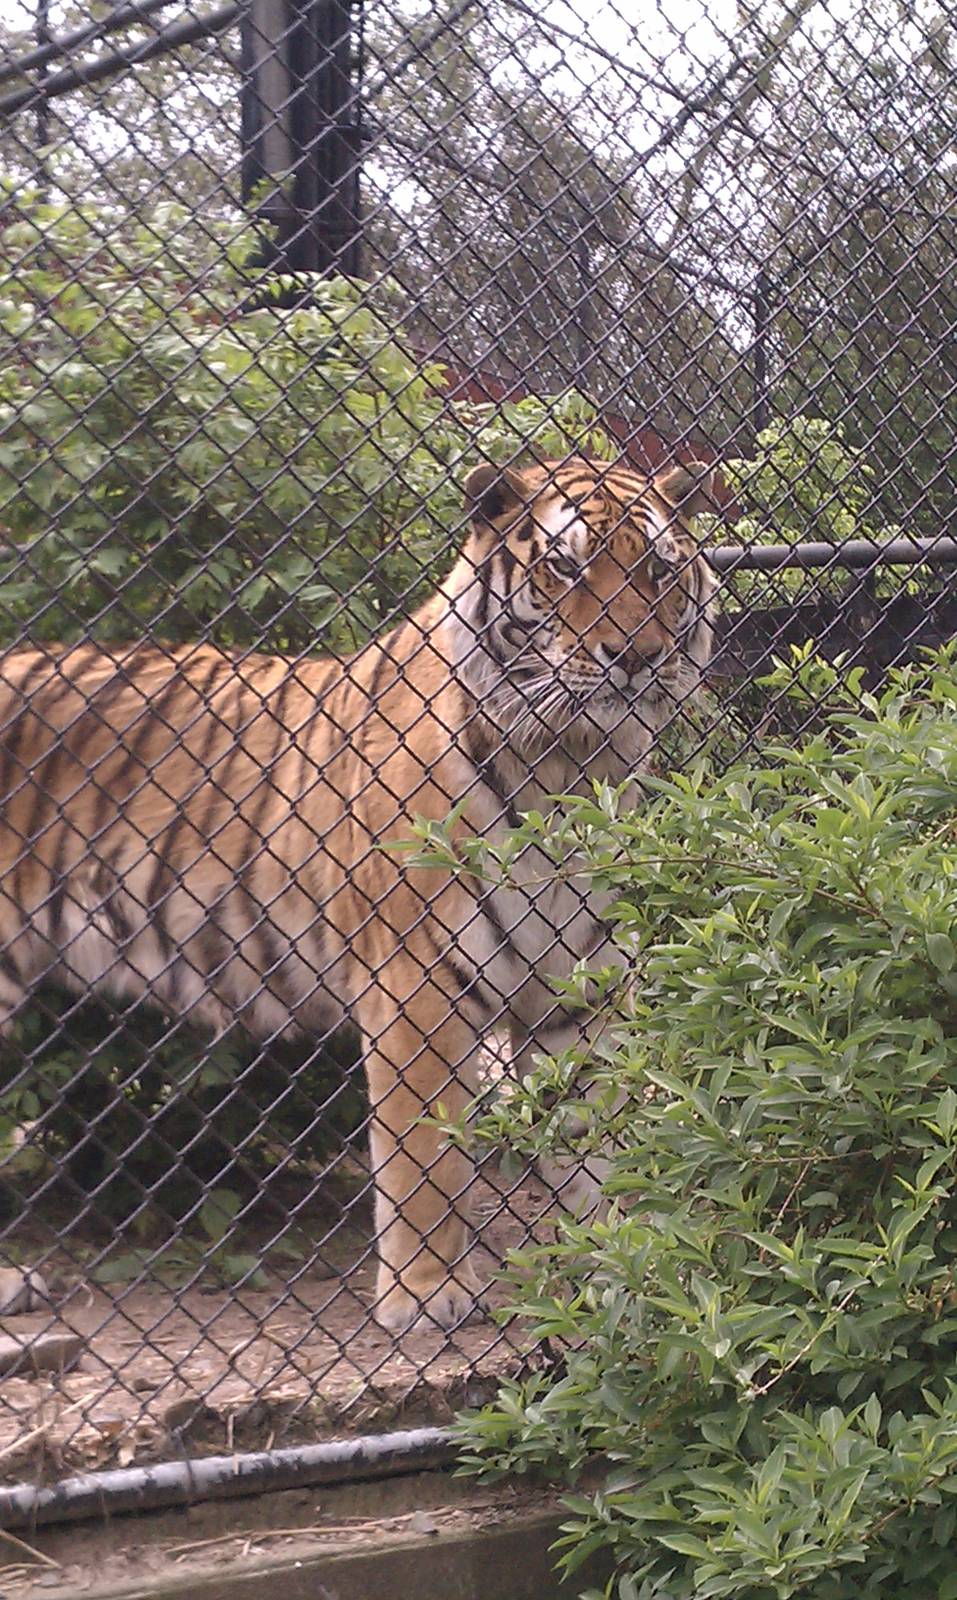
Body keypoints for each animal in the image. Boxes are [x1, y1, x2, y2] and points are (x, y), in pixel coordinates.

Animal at [0, 455, 716, 1333]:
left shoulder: (579, 992)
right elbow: (421, 1158)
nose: (636, 655)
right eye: (564, 566)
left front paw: (623, 1264)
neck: (572, 765)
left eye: (660, 570)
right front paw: (427, 1293)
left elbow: (597, 1142)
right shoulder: (416, 984)